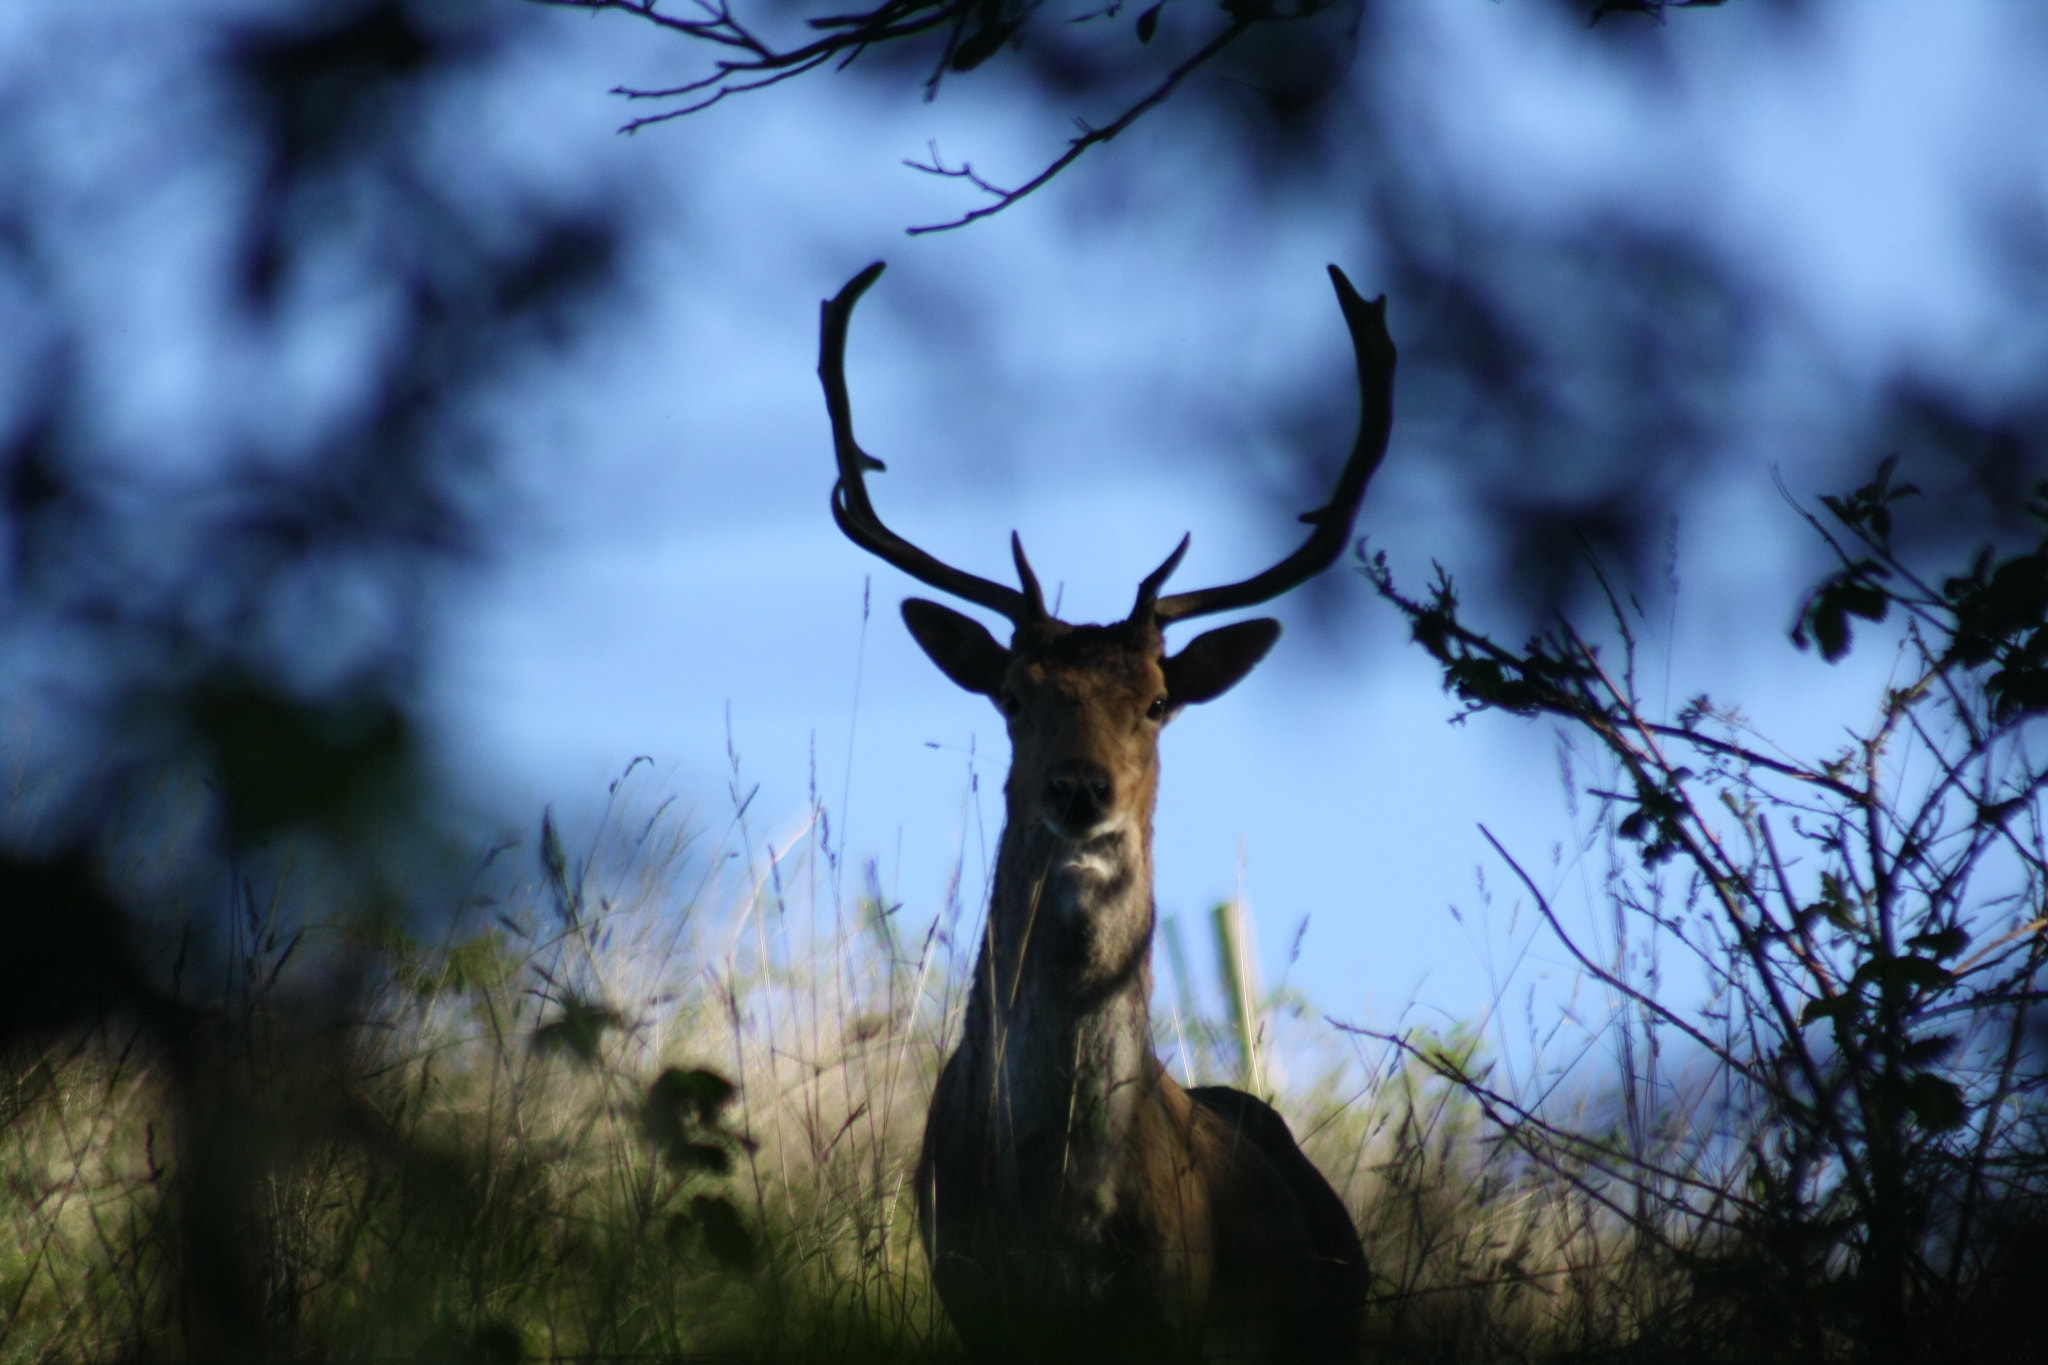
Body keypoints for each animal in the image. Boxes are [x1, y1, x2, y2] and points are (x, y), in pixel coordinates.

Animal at [815, 261, 1392, 1358]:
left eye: (1158, 699)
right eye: (1011, 691)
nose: (1079, 789)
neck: (1058, 1211)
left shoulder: (1169, 1307)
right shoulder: (968, 1291)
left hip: (1339, 1321)